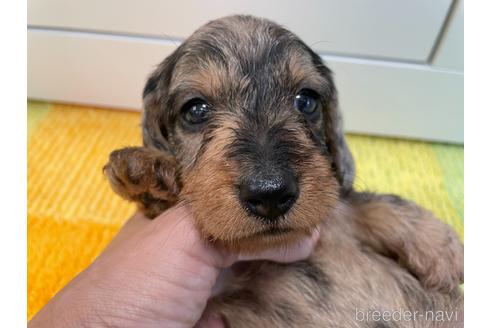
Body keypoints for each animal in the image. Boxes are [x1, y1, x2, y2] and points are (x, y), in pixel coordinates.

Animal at [104, 14, 466, 326]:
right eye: (195, 110)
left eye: (306, 100)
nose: (271, 194)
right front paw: (147, 173)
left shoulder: (333, 210)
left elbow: (360, 203)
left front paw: (440, 245)